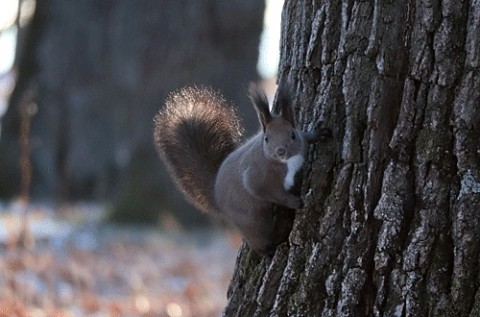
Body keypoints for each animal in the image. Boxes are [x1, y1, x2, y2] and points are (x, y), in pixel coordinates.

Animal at [154, 82, 330, 256]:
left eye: (292, 135)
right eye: (267, 139)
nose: (281, 151)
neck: (286, 162)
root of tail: (216, 195)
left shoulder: (300, 143)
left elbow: (306, 137)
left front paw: (319, 134)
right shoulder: (259, 178)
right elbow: (269, 192)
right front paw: (295, 202)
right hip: (252, 221)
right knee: (258, 240)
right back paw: (268, 251)